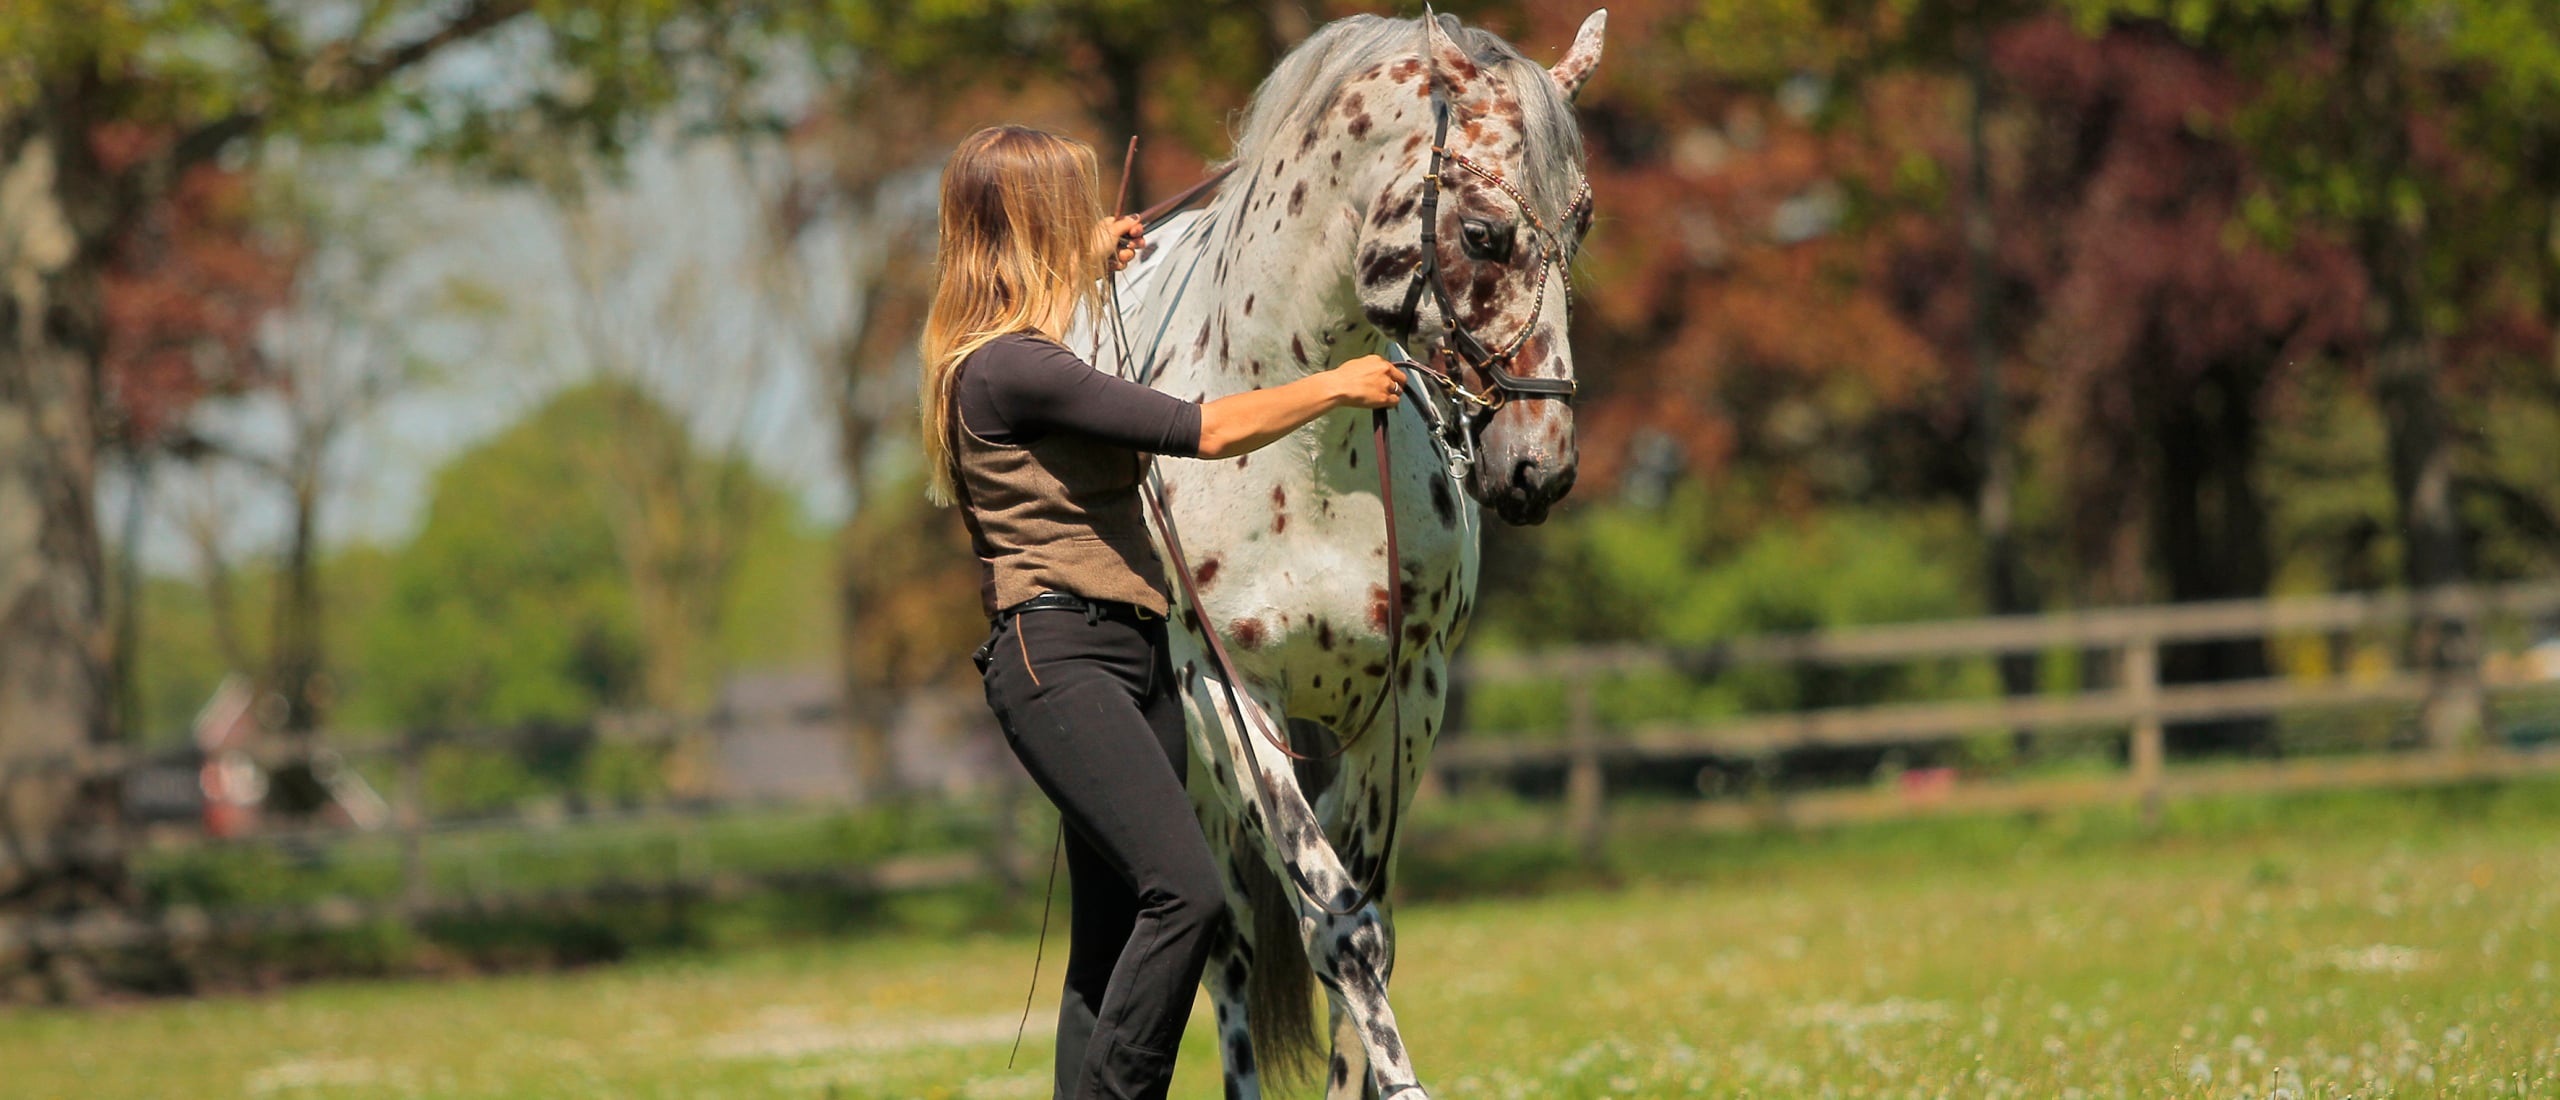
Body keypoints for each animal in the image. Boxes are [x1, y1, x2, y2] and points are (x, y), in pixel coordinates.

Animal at [1071, 10, 1605, 1098]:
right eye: (1482, 235)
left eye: (1580, 228)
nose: (1537, 464)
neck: (1302, 454)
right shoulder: (1231, 700)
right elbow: (1334, 929)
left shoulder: (1407, 696)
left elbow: (1370, 926)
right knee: (1232, 939)